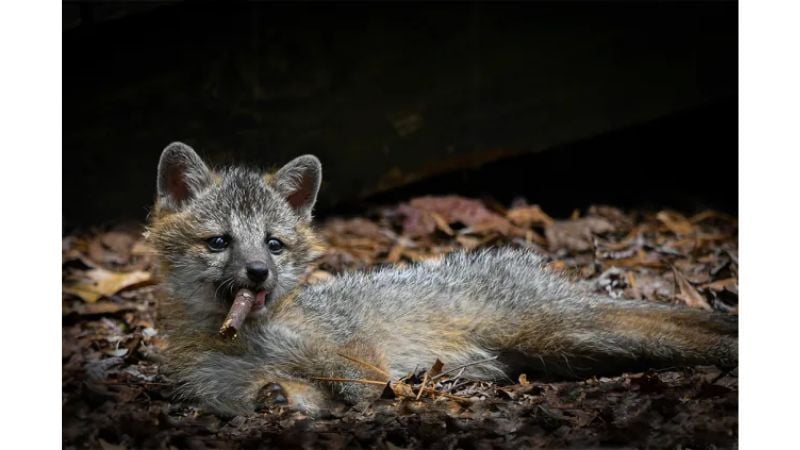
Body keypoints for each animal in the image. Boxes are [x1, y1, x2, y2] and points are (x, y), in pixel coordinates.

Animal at [145, 142, 736, 416]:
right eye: (219, 242)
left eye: (273, 243)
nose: (258, 272)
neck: (248, 339)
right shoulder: (234, 389)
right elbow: (284, 395)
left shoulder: (352, 352)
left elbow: (364, 381)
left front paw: (385, 398)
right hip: (566, 350)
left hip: (567, 332)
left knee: (674, 329)